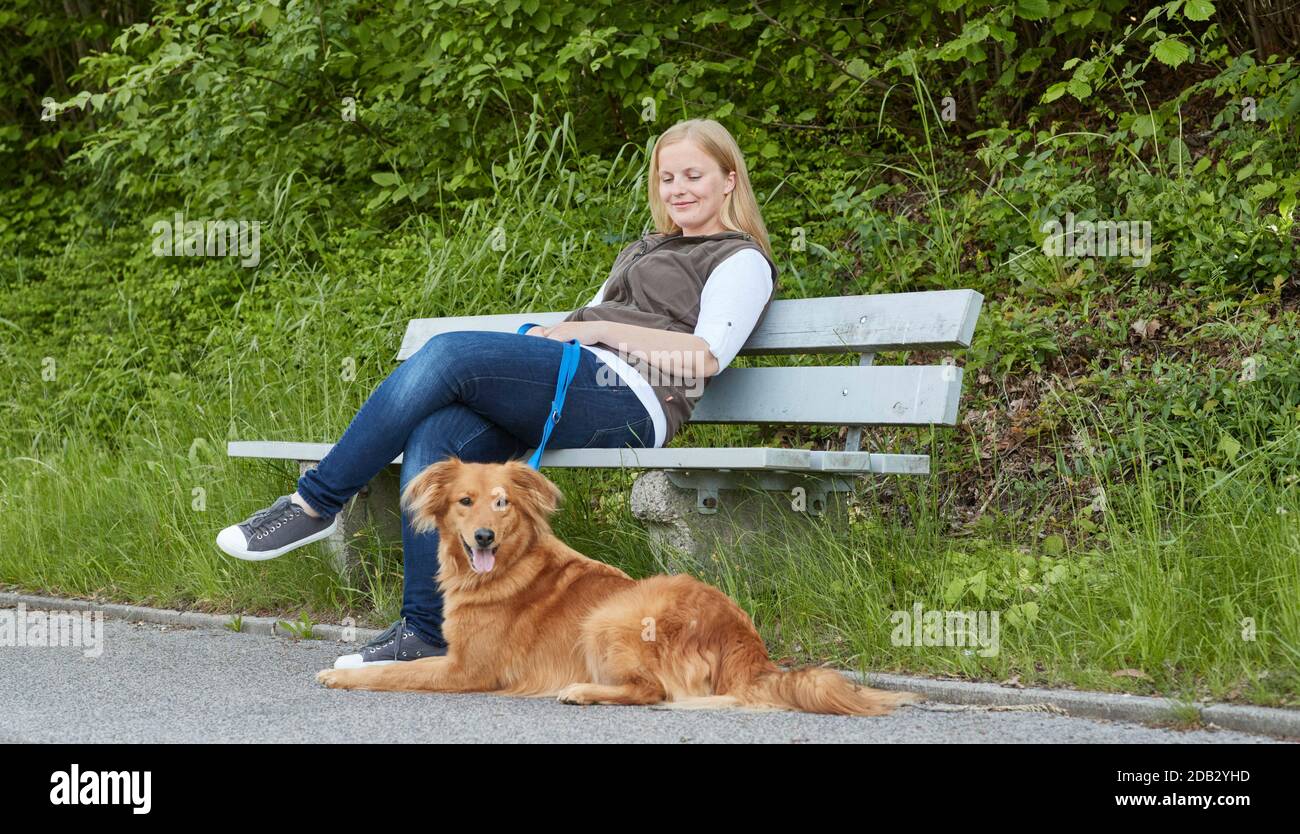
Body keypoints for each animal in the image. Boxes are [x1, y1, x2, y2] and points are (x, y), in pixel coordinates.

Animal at [315, 454, 920, 717]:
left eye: (502, 503)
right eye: (465, 501)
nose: (484, 536)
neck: (510, 566)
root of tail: (745, 642)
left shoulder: (467, 670)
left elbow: (395, 672)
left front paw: (340, 674)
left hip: (610, 617)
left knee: (652, 691)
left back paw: (582, 691)